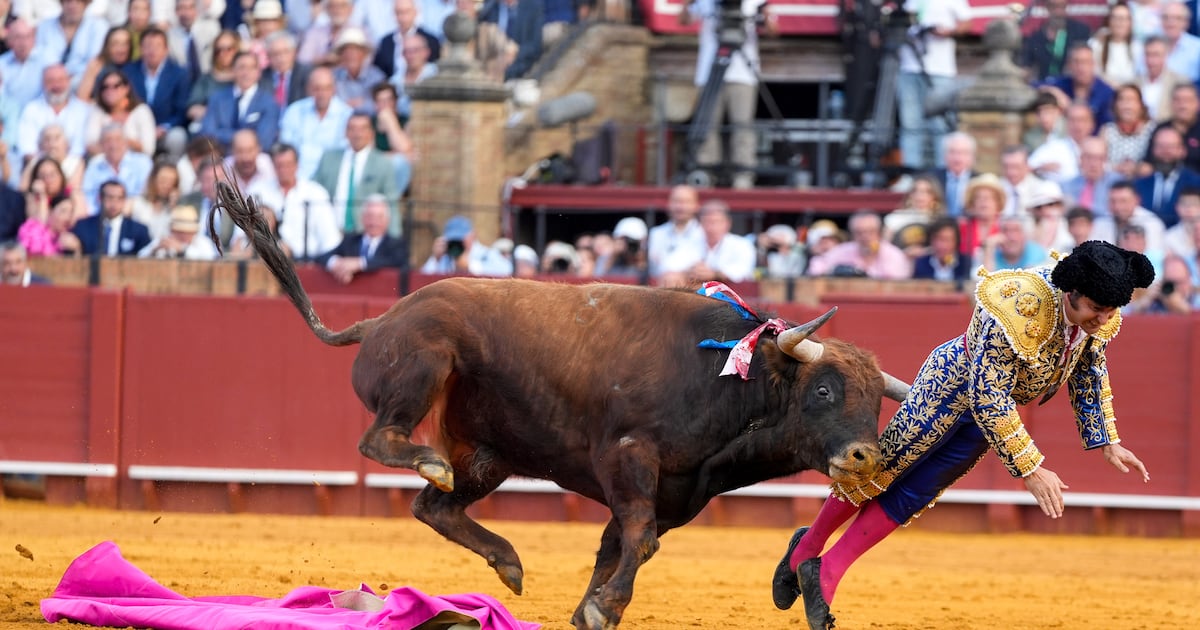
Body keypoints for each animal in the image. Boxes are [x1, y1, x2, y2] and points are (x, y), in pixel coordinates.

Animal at [213, 181, 910, 630]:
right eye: (823, 391)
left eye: (875, 403)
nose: (864, 455)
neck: (727, 380)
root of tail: (377, 320)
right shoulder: (628, 457)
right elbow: (637, 539)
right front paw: (602, 608)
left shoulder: (674, 493)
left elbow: (618, 545)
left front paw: (589, 609)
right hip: (425, 360)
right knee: (382, 442)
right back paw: (433, 467)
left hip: (489, 455)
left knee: (434, 506)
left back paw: (507, 562)